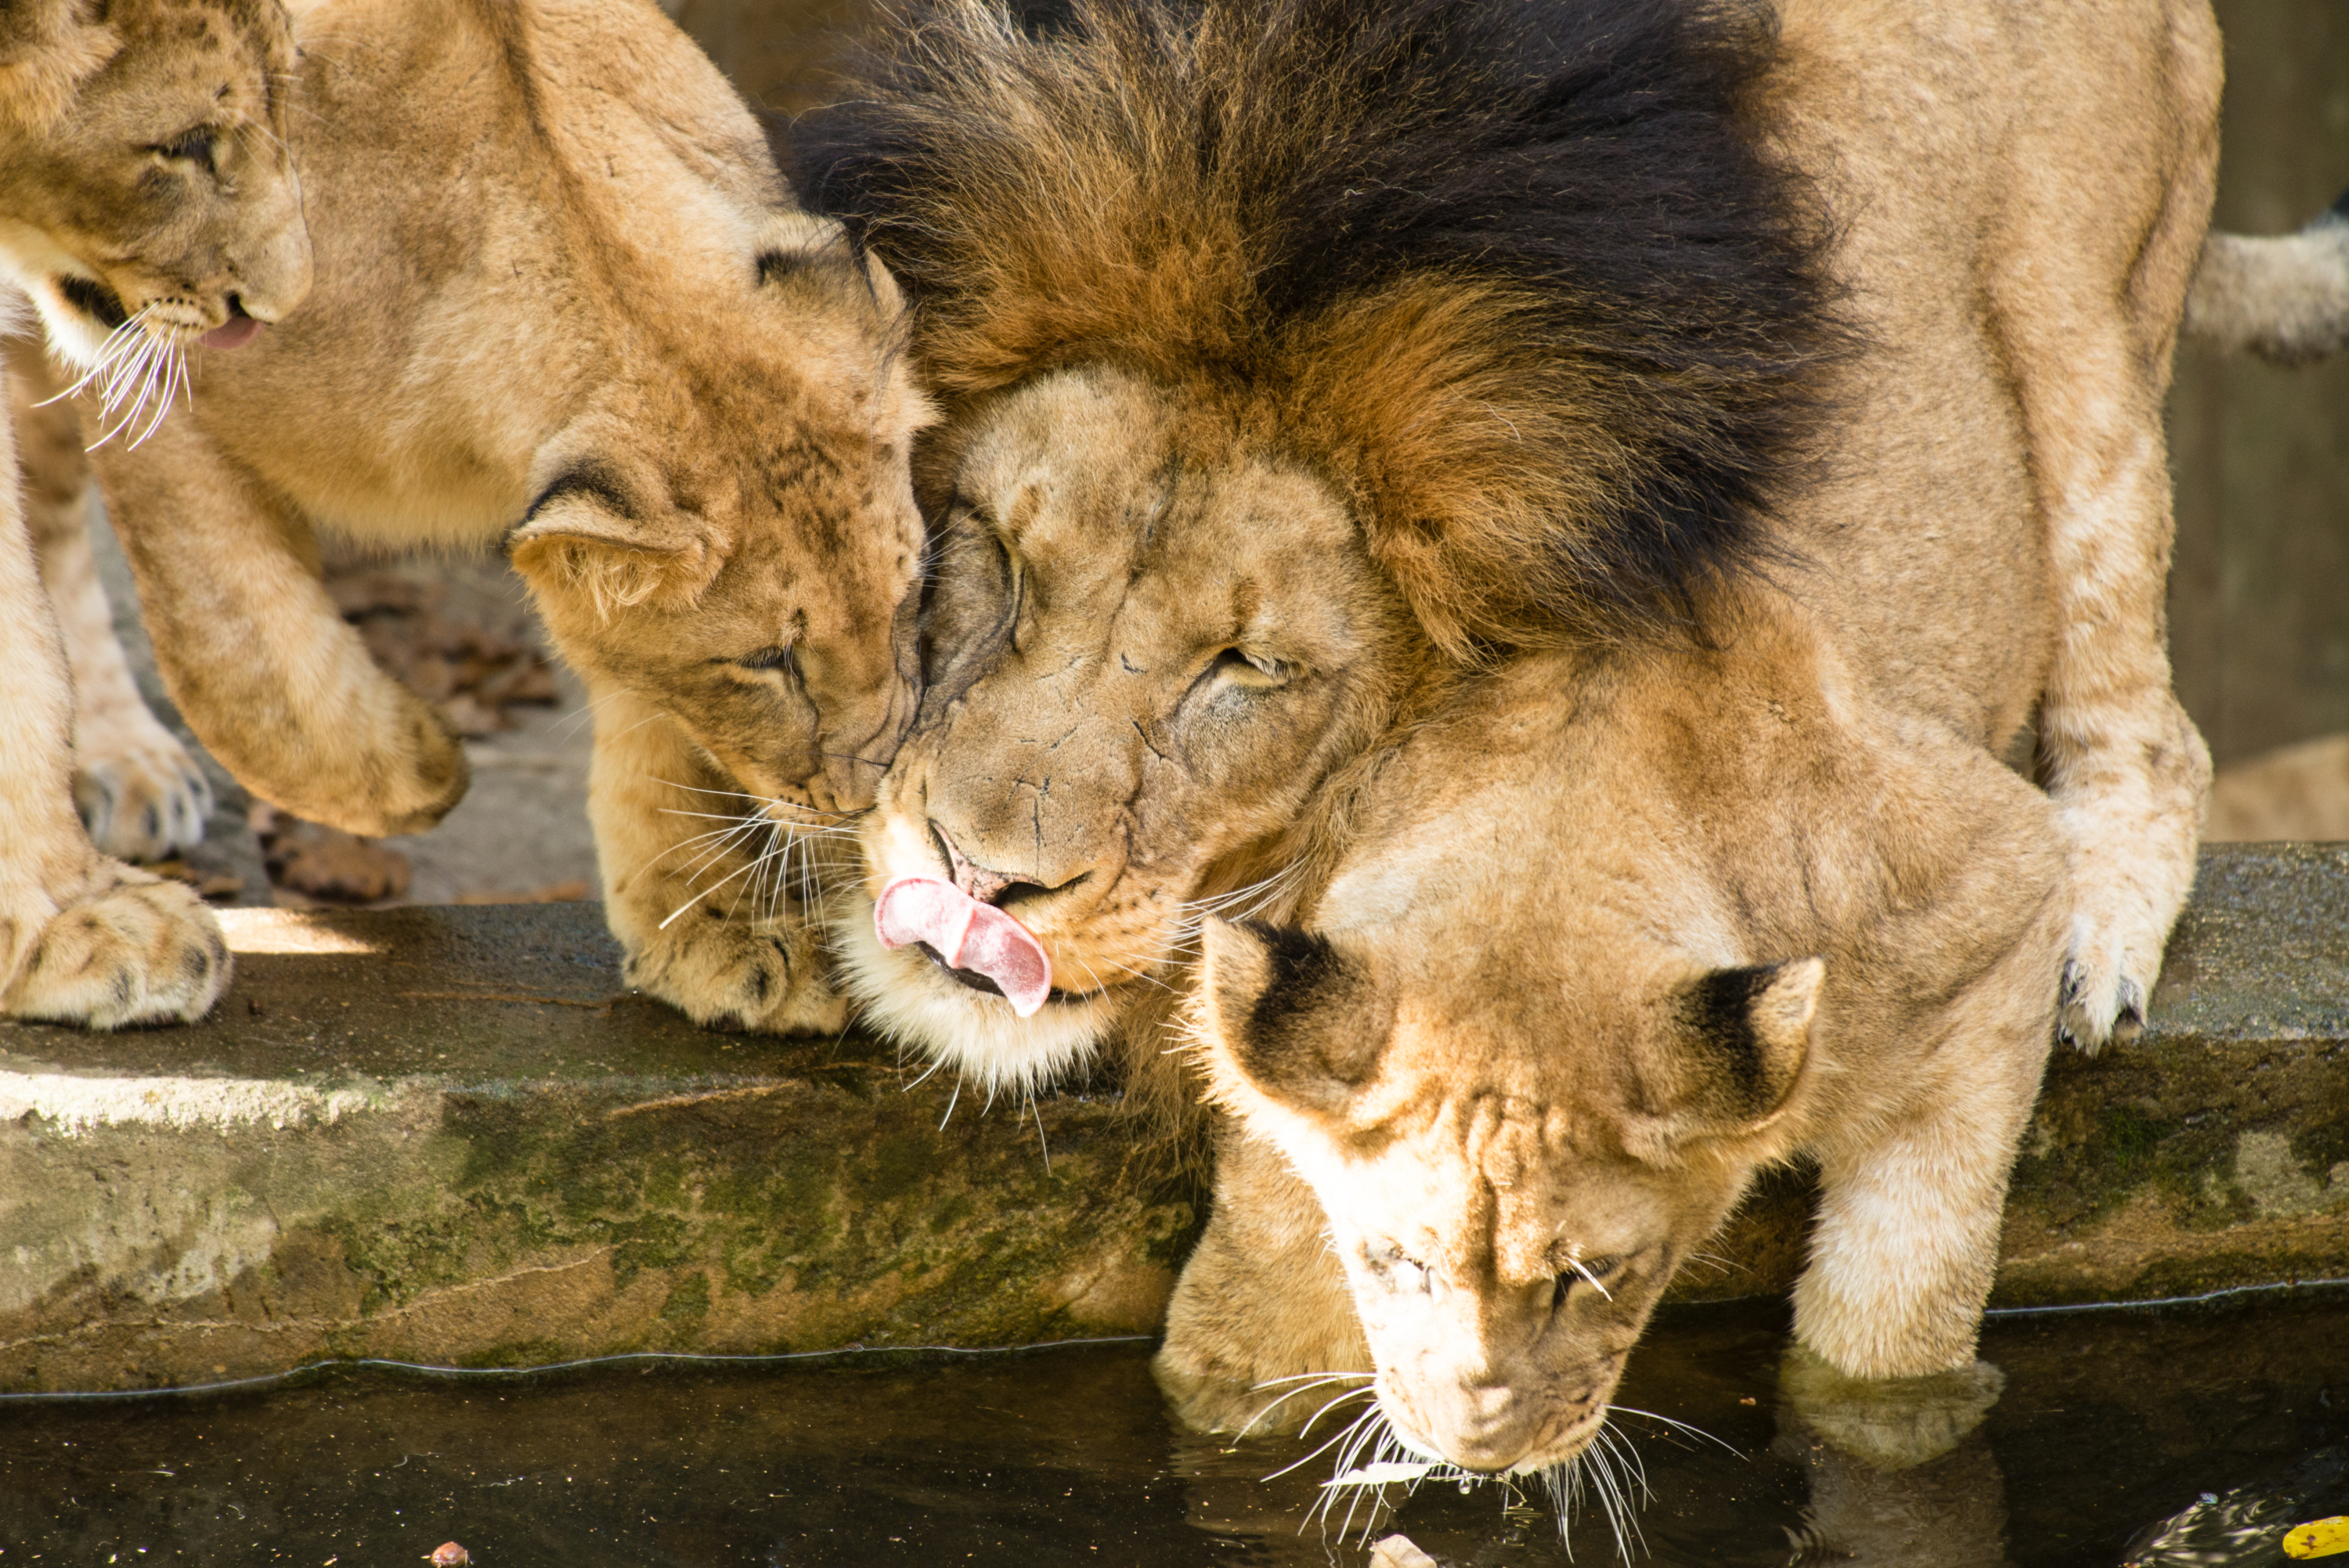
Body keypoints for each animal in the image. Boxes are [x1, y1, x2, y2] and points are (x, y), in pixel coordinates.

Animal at [68, 0, 932, 1033]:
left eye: (909, 600)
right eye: (770, 663)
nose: (869, 798)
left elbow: (656, 715)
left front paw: (716, 925)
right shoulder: (145, 363)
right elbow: (234, 649)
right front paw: (415, 767)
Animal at [803, 0, 2207, 1100]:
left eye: (1248, 669)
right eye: (1000, 552)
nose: (979, 873)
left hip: (2090, 341)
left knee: (2151, 719)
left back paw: (2101, 939)